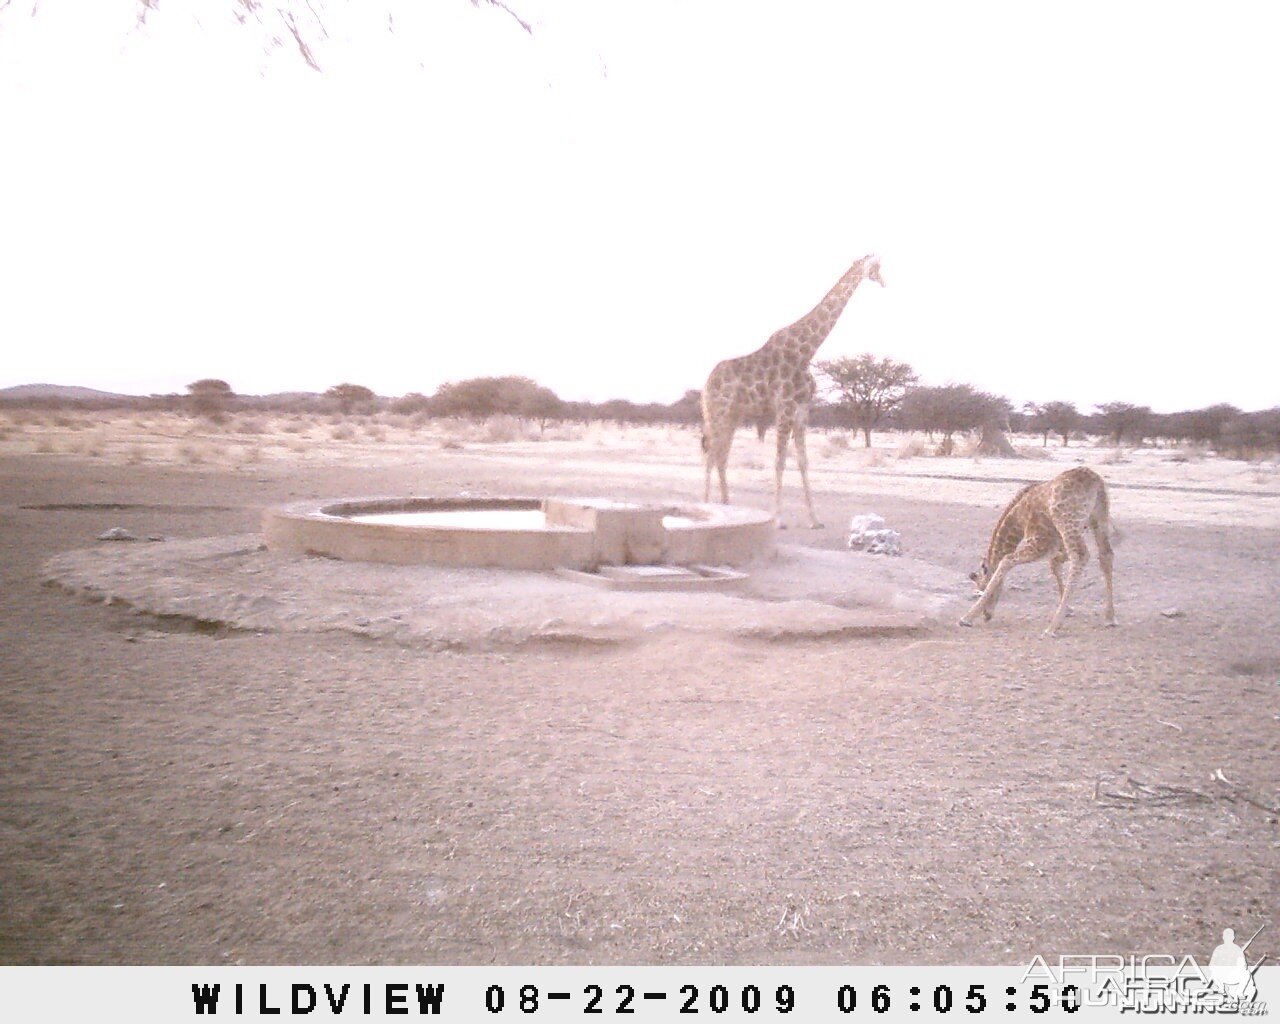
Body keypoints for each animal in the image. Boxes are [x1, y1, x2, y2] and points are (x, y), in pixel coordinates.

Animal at [701, 253, 880, 527]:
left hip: (733, 415)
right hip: (718, 413)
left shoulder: (802, 410)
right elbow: (780, 461)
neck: (806, 352)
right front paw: (778, 519)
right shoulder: (784, 408)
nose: (883, 281)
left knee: (721, 455)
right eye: (876, 267)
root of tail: (706, 385)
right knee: (711, 452)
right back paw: (708, 505)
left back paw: (727, 506)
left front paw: (815, 519)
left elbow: (803, 462)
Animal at [962, 465, 1121, 640]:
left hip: (1068, 522)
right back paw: (1110, 618)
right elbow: (1054, 563)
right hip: (1099, 517)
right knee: (1106, 555)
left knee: (1080, 556)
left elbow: (1006, 560)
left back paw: (1052, 628)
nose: (987, 615)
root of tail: (1096, 481)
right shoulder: (1057, 543)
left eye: (982, 588)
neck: (1018, 518)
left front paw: (967, 618)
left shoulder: (1041, 541)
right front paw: (1069, 609)